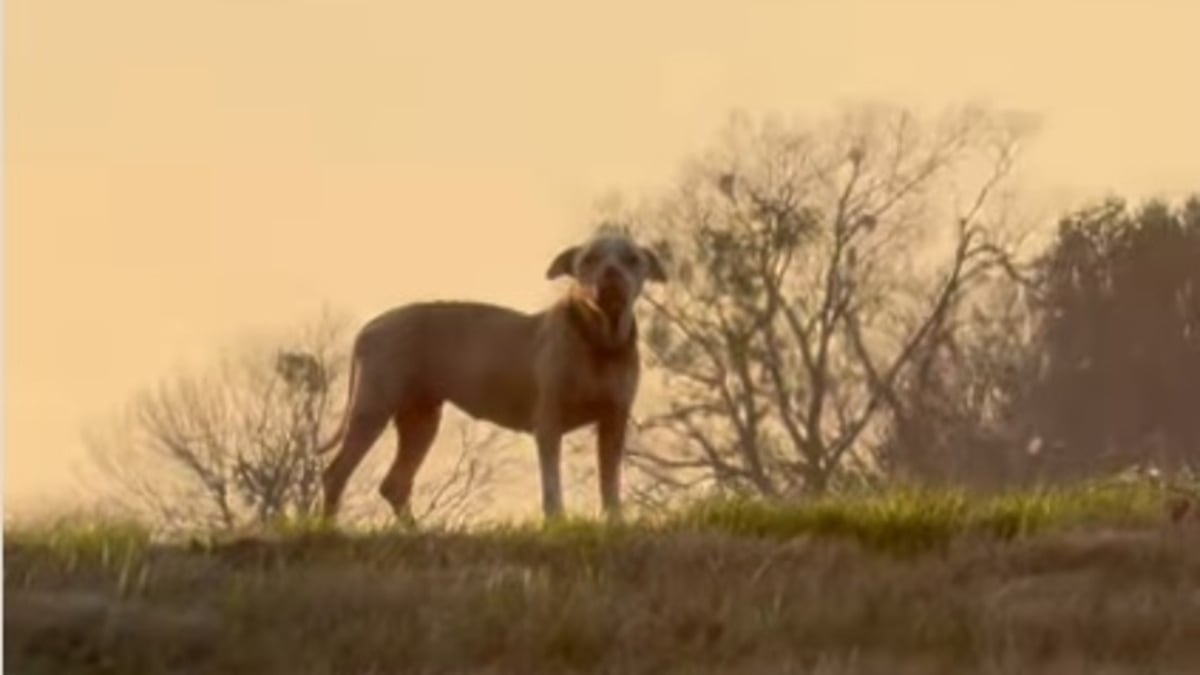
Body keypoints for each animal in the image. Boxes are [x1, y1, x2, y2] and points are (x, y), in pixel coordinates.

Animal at [314, 230, 667, 521]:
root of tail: (370, 327)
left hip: (421, 418)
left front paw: (615, 521)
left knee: (395, 484)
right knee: (337, 474)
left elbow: (610, 483)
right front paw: (557, 523)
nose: (611, 273)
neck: (600, 340)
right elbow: (552, 485)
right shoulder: (549, 424)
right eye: (589, 259)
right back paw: (329, 528)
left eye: (632, 259)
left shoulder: (614, 421)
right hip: (373, 408)